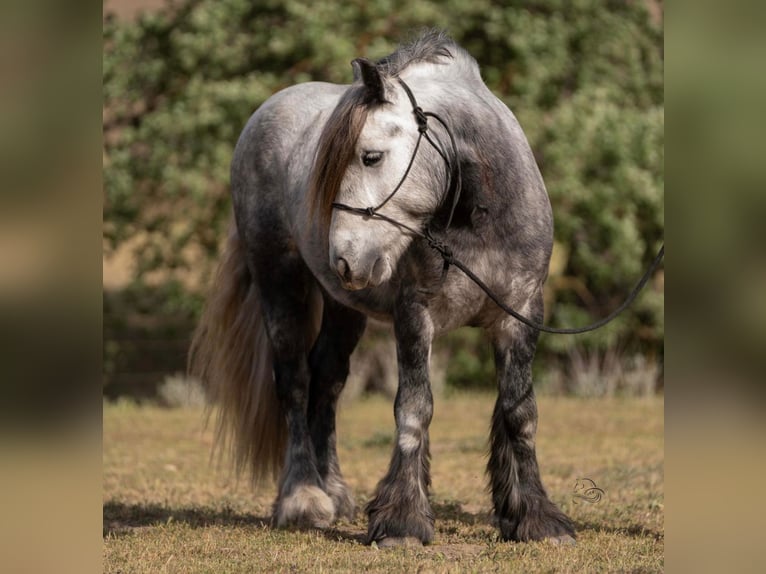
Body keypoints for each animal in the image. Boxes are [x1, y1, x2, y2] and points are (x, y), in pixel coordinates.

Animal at [190, 29, 576, 548]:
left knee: (327, 380)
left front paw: (533, 516)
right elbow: (414, 407)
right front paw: (402, 520)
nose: (344, 258)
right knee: (294, 382)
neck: (476, 217)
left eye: (370, 156)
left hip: (343, 308)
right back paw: (304, 498)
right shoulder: (415, 315)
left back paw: (334, 490)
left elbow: (519, 412)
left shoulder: (519, 315)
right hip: (280, 285)